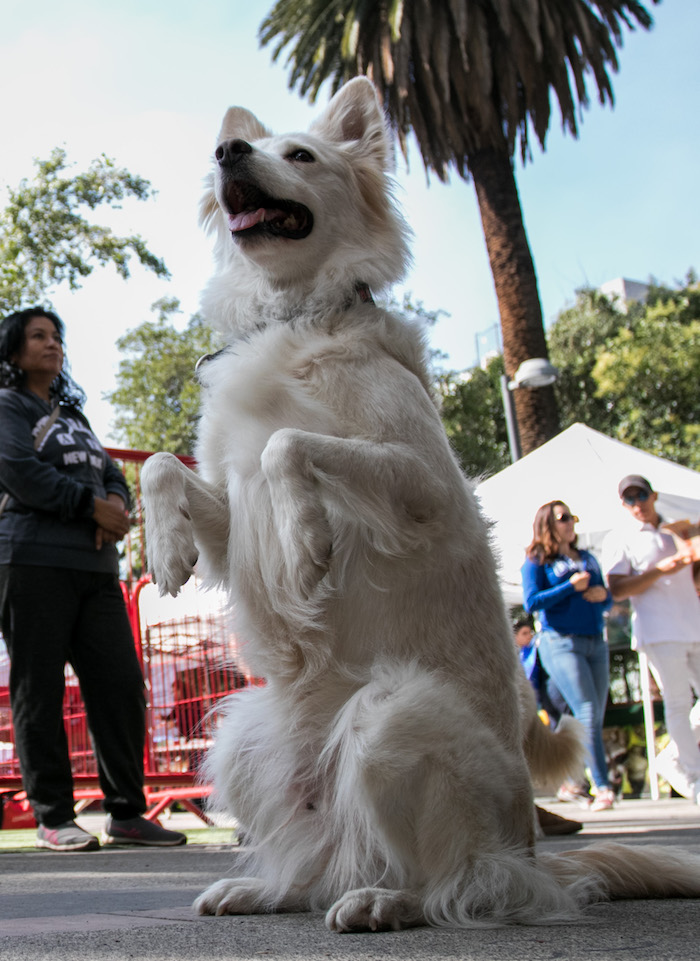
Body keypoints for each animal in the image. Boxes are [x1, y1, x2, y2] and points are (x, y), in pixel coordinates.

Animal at [142, 77, 700, 928]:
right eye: (240, 148)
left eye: (301, 154)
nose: (227, 151)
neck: (294, 312)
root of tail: (532, 849)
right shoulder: (234, 521)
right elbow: (163, 468)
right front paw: (167, 546)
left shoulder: (426, 479)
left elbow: (288, 446)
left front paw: (307, 542)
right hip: (242, 737)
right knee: (321, 866)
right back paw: (266, 887)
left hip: (392, 716)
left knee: (454, 879)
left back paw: (388, 899)